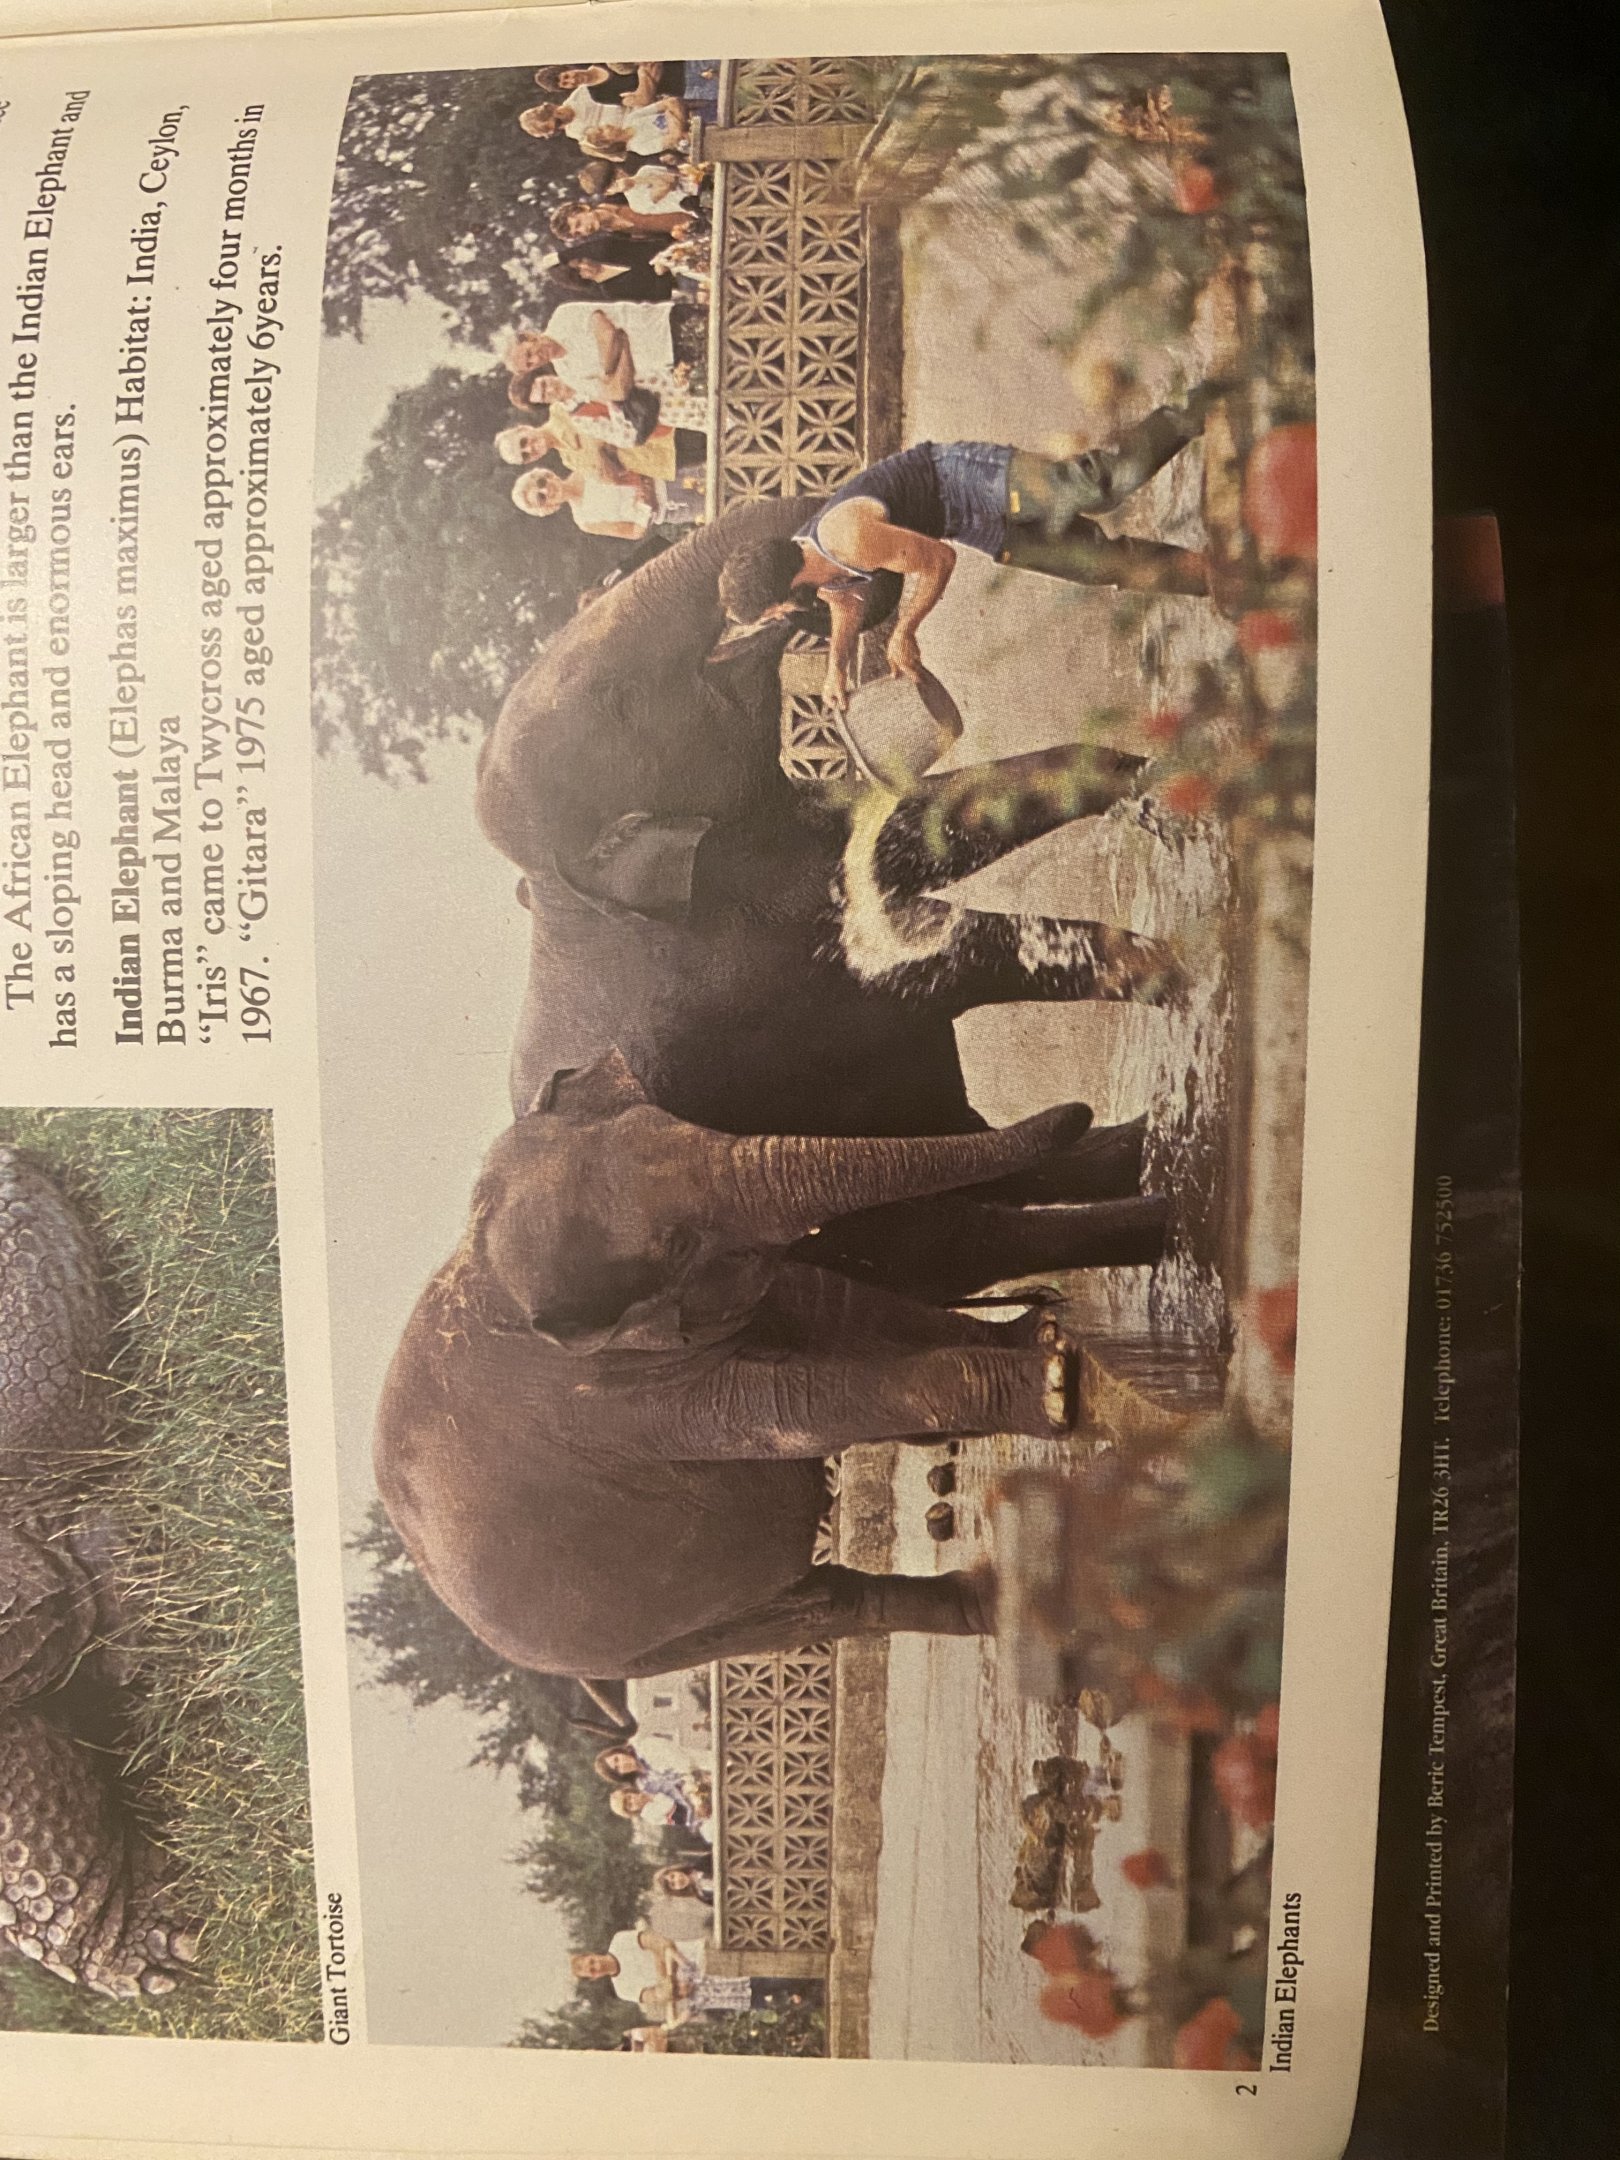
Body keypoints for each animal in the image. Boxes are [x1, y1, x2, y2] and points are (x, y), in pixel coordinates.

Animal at [376, 1051, 1137, 1682]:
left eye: (678, 1117)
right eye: (679, 1245)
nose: (1079, 1110)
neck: (480, 1266)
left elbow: (850, 1314)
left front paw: (1044, 1334)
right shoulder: (616, 1402)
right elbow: (794, 1406)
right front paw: (1051, 1384)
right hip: (640, 1647)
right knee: (823, 1609)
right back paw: (994, 1604)